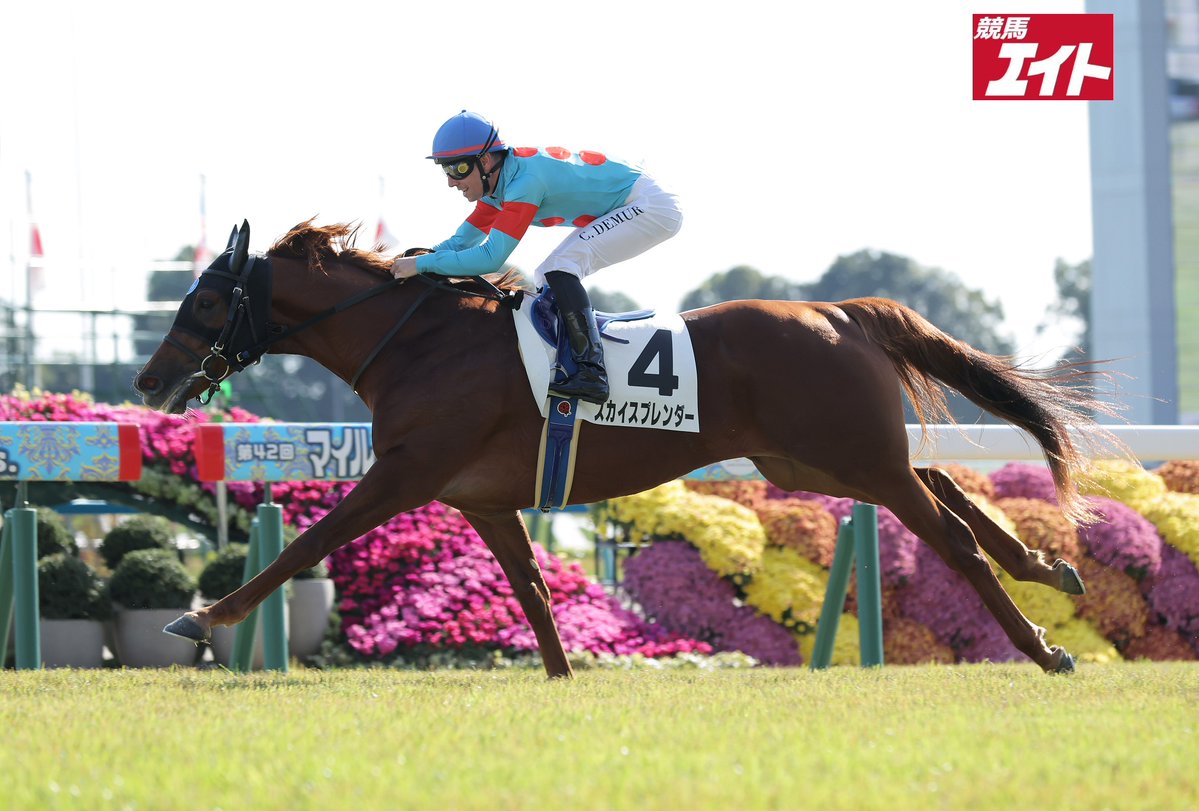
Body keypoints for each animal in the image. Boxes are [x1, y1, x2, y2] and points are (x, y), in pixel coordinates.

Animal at [134, 219, 1117, 677]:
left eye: (208, 301)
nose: (148, 380)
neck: (416, 341)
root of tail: (837, 311)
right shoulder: (482, 498)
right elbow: (533, 592)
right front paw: (567, 675)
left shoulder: (404, 473)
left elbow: (305, 543)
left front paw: (203, 616)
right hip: (810, 458)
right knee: (942, 478)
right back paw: (1045, 565)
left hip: (847, 455)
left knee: (949, 538)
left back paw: (1042, 645)